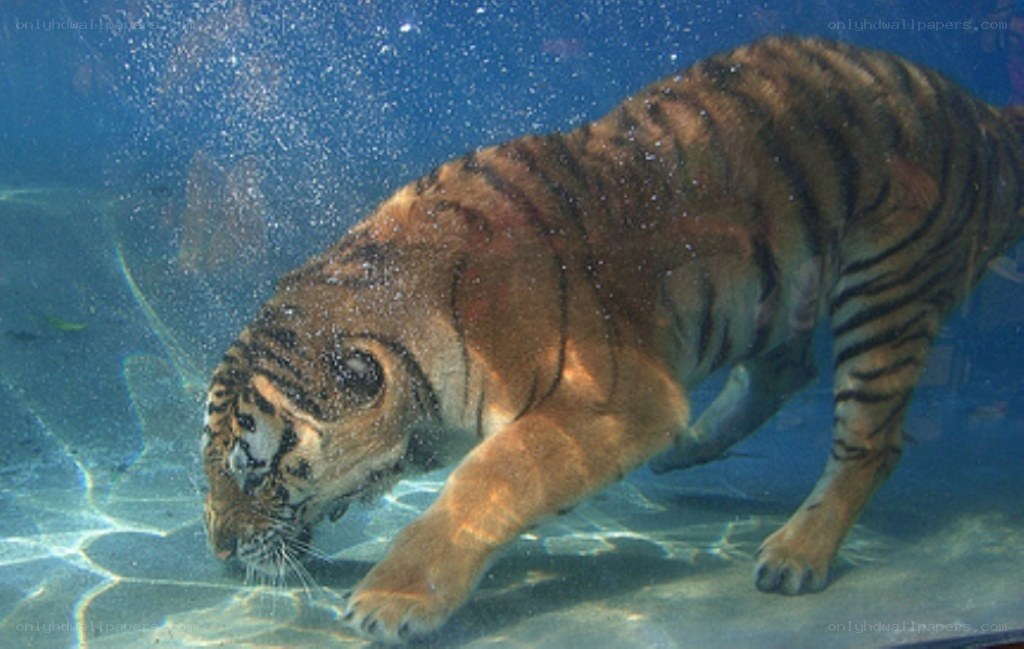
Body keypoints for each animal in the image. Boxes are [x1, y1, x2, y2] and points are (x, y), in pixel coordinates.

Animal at [201, 36, 1024, 643]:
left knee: (870, 439)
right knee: (785, 366)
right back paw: (691, 451)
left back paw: (796, 554)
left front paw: (392, 598)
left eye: (257, 472)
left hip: (888, 287)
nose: (218, 554)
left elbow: (488, 478)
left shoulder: (610, 400)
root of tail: (985, 110)